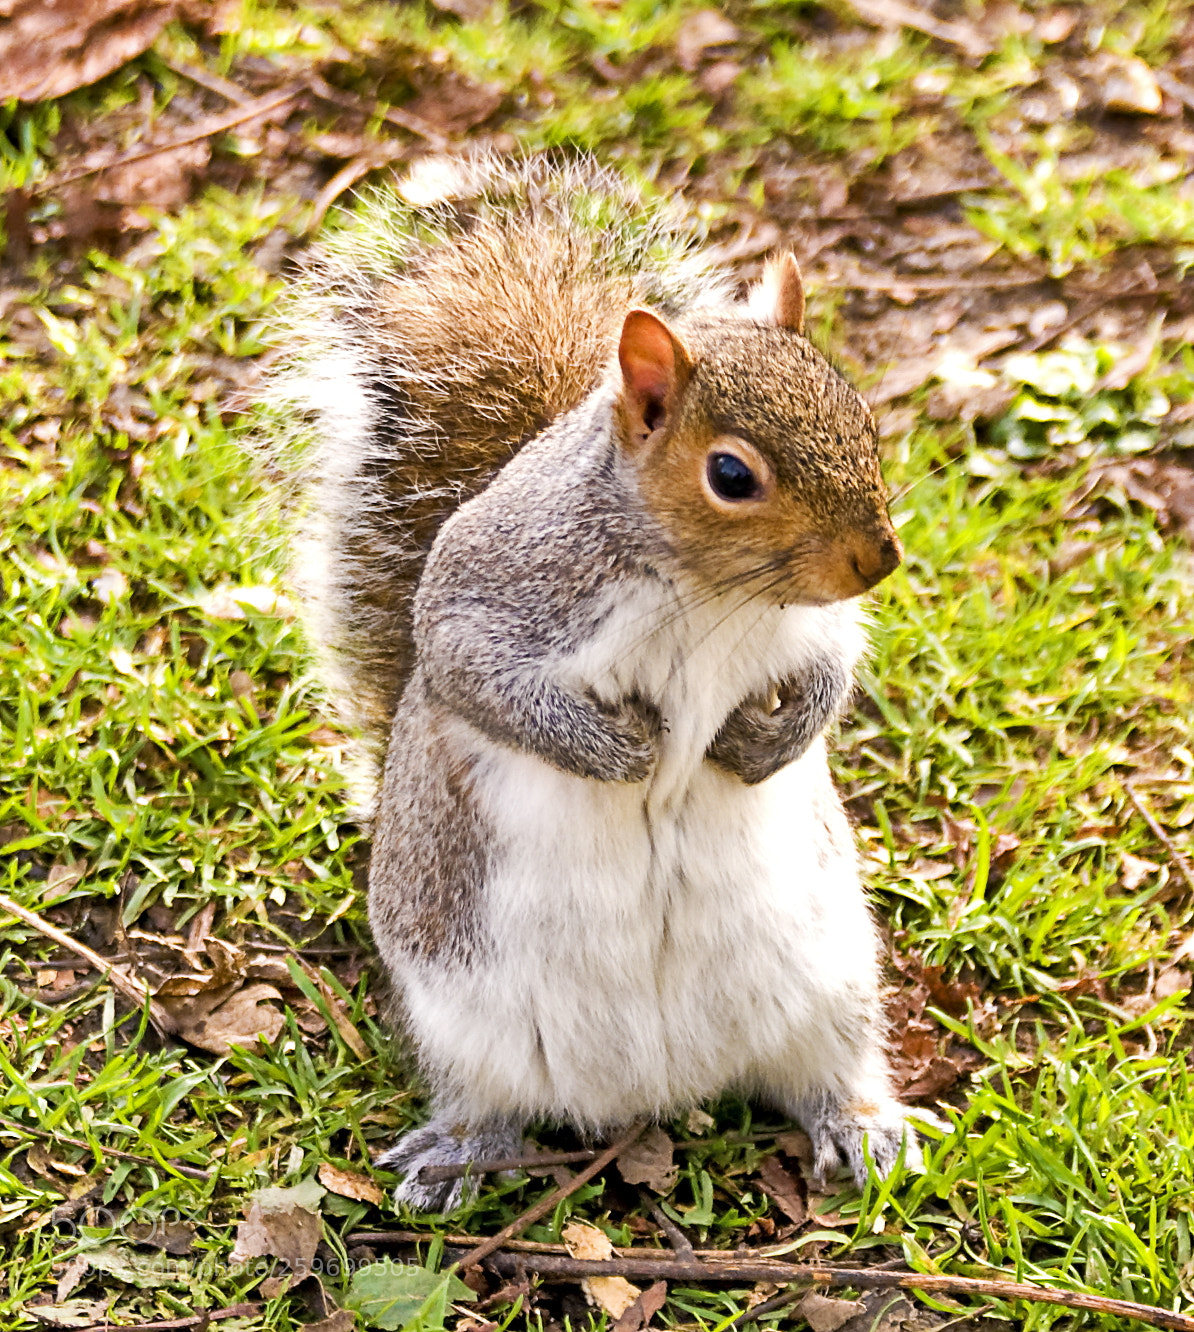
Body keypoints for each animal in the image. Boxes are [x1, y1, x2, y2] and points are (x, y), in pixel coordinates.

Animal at [261, 153, 913, 1210]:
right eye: (732, 475)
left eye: (862, 420)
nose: (878, 560)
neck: (702, 590)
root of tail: (659, 1089)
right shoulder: (498, 591)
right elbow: (469, 671)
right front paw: (617, 752)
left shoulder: (808, 627)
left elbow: (831, 669)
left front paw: (767, 741)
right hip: (466, 1017)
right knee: (486, 1098)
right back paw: (458, 1151)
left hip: (833, 982)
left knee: (828, 1070)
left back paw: (860, 1125)